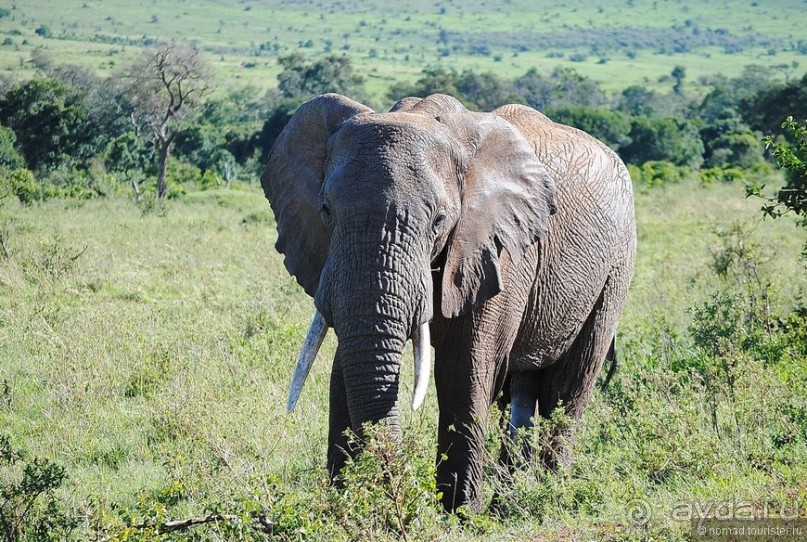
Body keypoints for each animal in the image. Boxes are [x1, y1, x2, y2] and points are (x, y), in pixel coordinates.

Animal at [262, 92, 636, 516]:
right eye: (325, 210)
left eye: (439, 221)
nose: (390, 499)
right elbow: (344, 366)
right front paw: (346, 507)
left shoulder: (499, 249)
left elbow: (463, 368)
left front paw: (459, 516)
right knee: (521, 391)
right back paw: (507, 506)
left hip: (615, 271)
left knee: (567, 387)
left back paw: (548, 497)